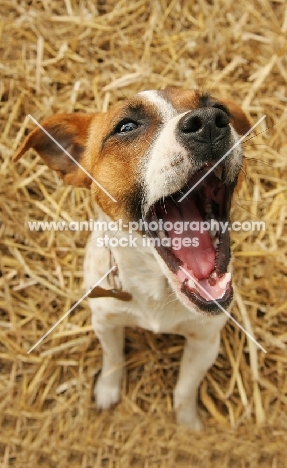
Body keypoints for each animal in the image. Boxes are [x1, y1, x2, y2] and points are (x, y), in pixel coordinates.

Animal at [14, 88, 251, 432]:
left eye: (219, 108)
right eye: (126, 127)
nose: (209, 122)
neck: (156, 285)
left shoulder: (206, 339)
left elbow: (185, 388)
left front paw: (187, 426)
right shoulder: (105, 321)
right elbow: (113, 359)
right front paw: (108, 391)